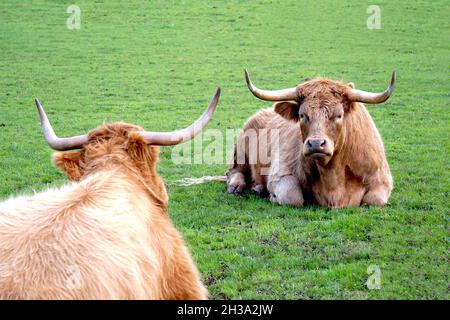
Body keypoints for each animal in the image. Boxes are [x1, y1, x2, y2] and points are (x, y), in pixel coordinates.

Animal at [227, 70, 396, 209]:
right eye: (302, 115)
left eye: (339, 115)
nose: (316, 144)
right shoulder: (281, 173)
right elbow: (292, 197)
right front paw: (272, 196)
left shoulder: (382, 178)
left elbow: (374, 200)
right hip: (240, 151)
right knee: (235, 170)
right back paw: (238, 186)